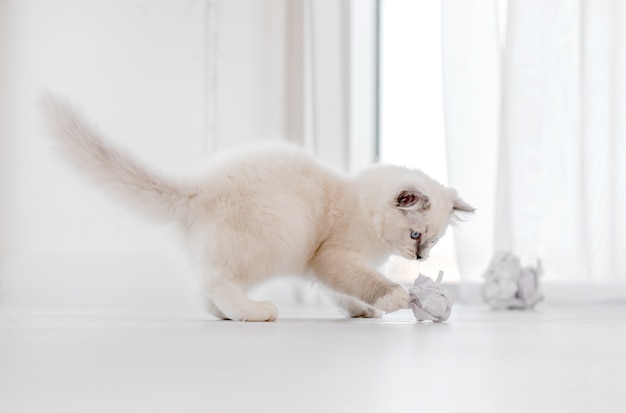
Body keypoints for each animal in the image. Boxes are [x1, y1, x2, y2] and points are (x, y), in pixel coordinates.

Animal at [44, 97, 472, 322]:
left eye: (433, 242)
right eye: (416, 235)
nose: (420, 257)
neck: (359, 203)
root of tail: (197, 189)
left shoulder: (320, 267)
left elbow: (339, 293)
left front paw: (361, 311)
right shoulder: (334, 256)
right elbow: (363, 281)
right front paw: (394, 298)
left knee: (207, 290)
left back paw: (228, 314)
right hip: (277, 238)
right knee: (214, 280)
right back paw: (255, 312)